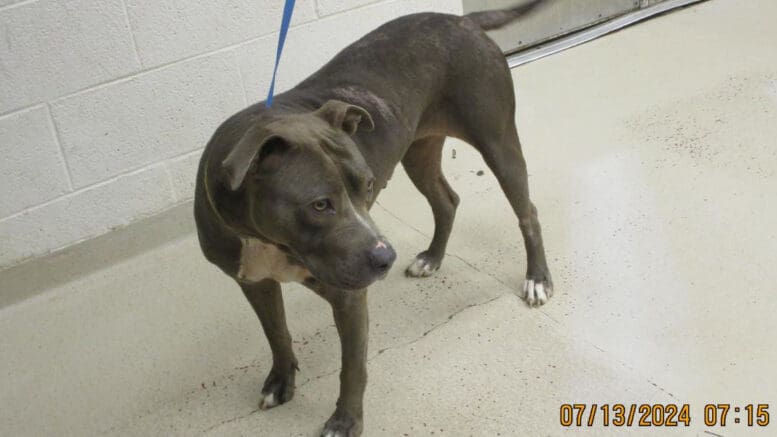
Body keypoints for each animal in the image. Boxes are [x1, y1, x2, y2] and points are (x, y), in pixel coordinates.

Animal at [197, 1, 556, 434]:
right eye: (320, 205)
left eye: (368, 186)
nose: (386, 257)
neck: (266, 239)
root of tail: (462, 20)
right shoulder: (253, 282)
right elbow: (276, 333)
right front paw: (281, 381)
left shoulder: (348, 296)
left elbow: (352, 367)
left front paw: (345, 420)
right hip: (419, 150)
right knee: (447, 201)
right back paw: (432, 258)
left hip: (497, 139)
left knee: (527, 211)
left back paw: (537, 279)